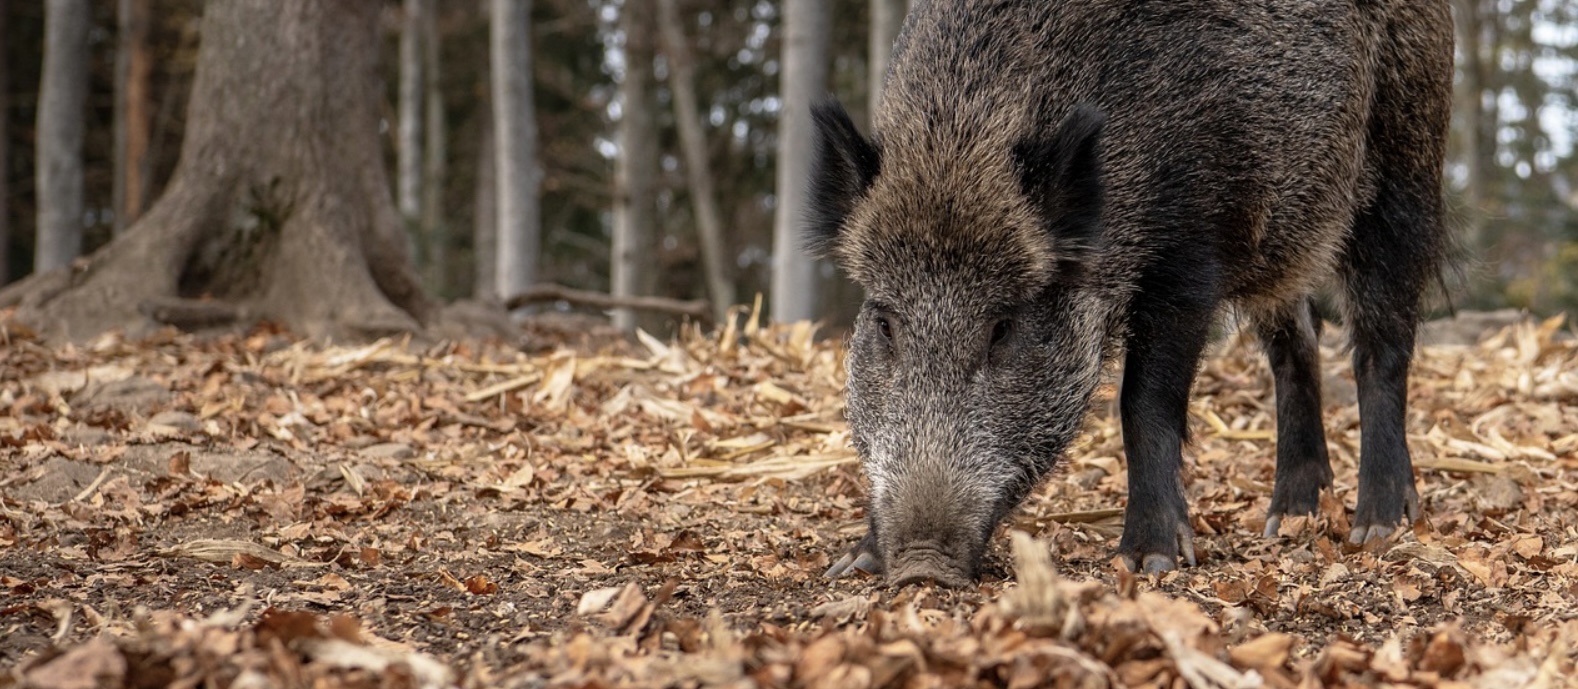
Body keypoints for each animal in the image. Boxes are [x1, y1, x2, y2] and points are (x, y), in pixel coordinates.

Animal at [810, 0, 1453, 586]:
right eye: (885, 323)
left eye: (1004, 327)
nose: (922, 567)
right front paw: (854, 564)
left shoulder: (1189, 257)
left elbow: (1144, 403)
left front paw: (1150, 562)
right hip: (1285, 237)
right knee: (1295, 345)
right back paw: (1289, 518)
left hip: (1407, 155)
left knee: (1381, 342)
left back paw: (1379, 525)